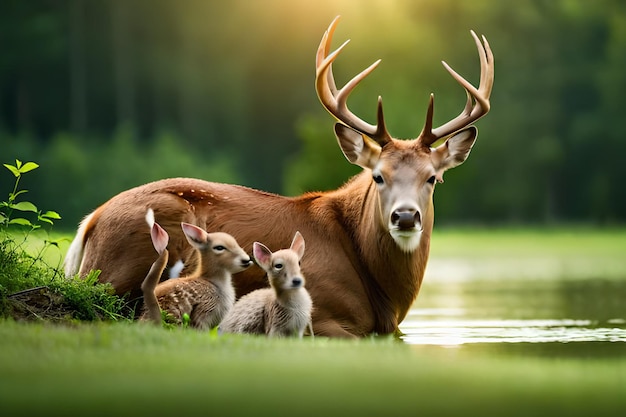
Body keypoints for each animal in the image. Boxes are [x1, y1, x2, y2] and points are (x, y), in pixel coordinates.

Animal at [63, 15, 492, 338]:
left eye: (432, 178)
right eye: (378, 176)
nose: (404, 217)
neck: (383, 292)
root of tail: (92, 219)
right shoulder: (327, 316)